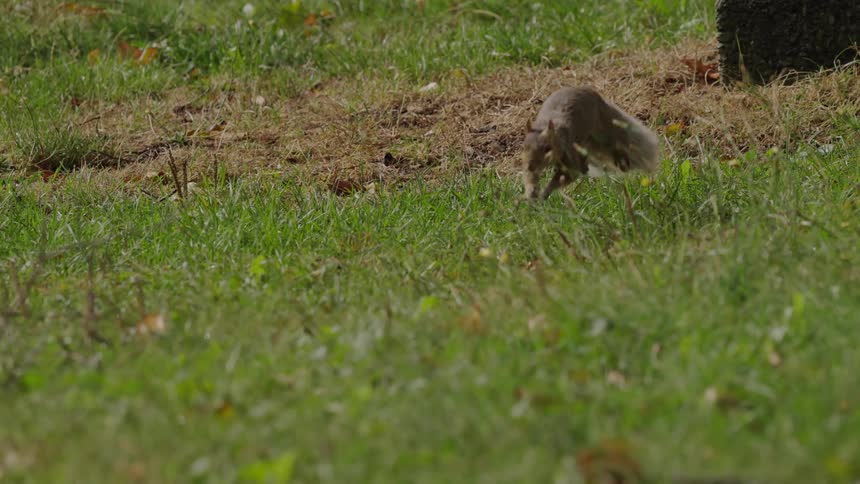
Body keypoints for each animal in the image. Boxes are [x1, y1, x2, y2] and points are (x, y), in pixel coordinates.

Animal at [521, 86, 660, 200]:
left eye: (547, 148)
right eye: (525, 147)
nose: (530, 165)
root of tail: (599, 98)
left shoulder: (569, 153)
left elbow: (569, 174)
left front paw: (544, 193)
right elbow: (530, 177)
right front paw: (531, 193)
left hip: (604, 134)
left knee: (615, 146)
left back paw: (622, 163)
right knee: (585, 166)